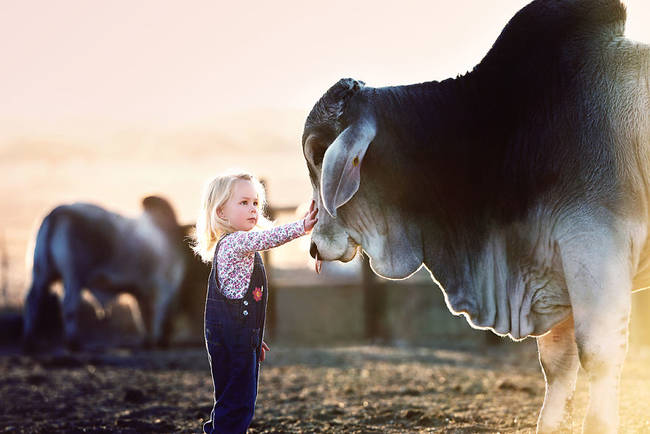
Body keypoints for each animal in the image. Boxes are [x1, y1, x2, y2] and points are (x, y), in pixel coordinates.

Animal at [23, 196, 208, 350]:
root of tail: (57, 213)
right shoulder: (163, 286)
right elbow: (156, 313)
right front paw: (156, 340)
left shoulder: (142, 292)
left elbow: (142, 315)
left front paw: (147, 341)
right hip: (74, 275)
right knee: (69, 304)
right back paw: (73, 342)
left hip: (42, 273)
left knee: (33, 300)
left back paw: (31, 340)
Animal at [302, 1, 648, 432]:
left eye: (318, 153)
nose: (314, 247)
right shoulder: (556, 263)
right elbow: (557, 364)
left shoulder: (595, 245)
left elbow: (598, 356)